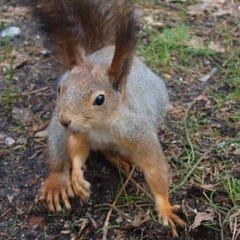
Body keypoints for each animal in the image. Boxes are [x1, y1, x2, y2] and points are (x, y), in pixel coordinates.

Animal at [28, 0, 186, 236]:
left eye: (100, 99)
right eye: (60, 88)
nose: (65, 120)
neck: (101, 126)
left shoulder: (137, 131)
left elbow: (154, 168)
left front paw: (165, 208)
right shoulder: (79, 133)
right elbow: (76, 151)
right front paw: (76, 177)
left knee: (111, 152)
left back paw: (119, 158)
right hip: (57, 133)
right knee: (59, 158)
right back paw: (57, 183)